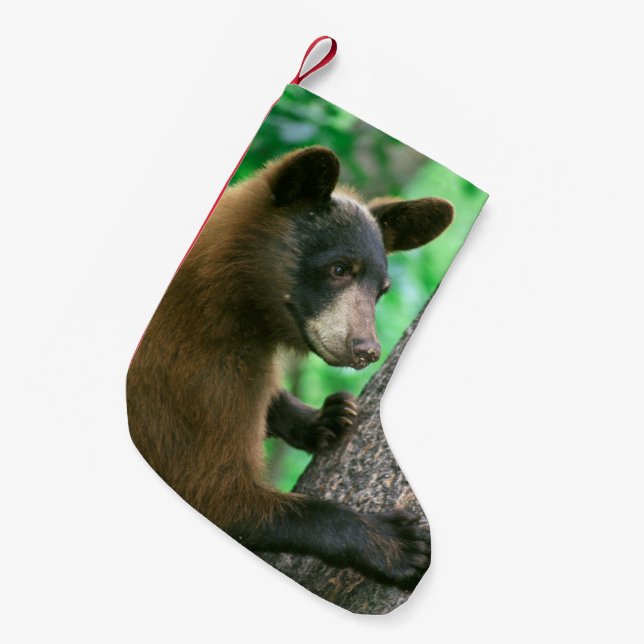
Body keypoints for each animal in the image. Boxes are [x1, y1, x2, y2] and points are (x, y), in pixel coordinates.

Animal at [126, 146, 454, 589]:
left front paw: (322, 417)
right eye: (339, 268)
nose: (367, 350)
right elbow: (216, 489)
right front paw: (395, 543)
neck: (234, 300)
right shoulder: (194, 370)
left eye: (382, 289)